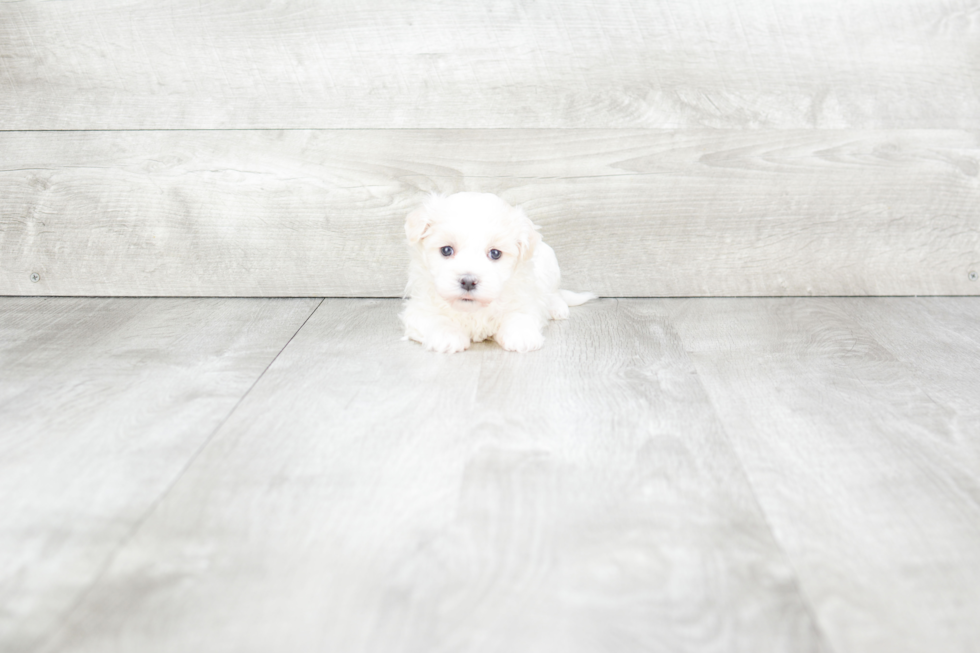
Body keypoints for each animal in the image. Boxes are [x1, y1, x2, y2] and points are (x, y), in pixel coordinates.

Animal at [400, 191, 596, 354]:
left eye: (495, 253)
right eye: (446, 250)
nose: (468, 281)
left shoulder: (524, 300)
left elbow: (519, 315)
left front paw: (522, 335)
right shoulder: (419, 307)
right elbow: (435, 318)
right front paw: (447, 336)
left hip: (550, 263)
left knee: (553, 293)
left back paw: (557, 308)